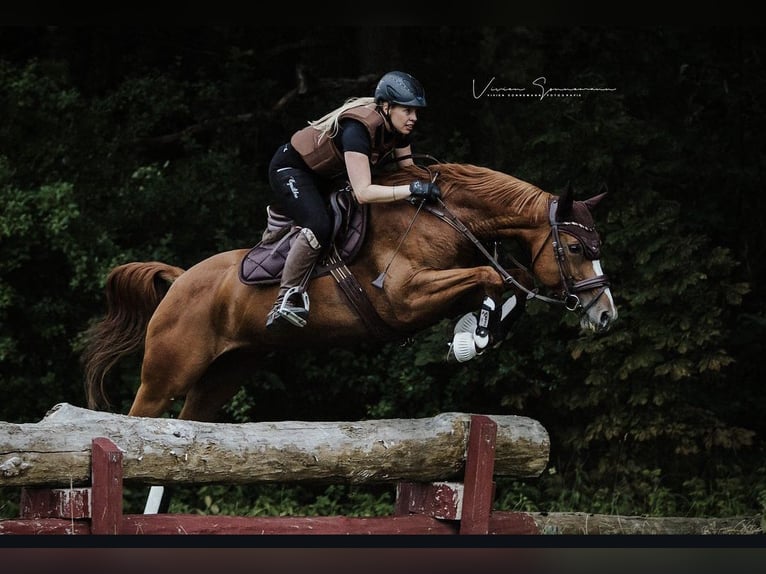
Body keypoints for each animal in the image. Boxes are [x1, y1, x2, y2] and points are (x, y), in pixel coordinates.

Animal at [82, 162, 617, 424]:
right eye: (574, 247)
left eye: (598, 245)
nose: (606, 315)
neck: (443, 221)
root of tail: (180, 281)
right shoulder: (403, 298)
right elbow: (493, 278)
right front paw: (476, 337)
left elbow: (503, 285)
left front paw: (472, 335)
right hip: (166, 374)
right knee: (139, 421)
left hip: (225, 373)